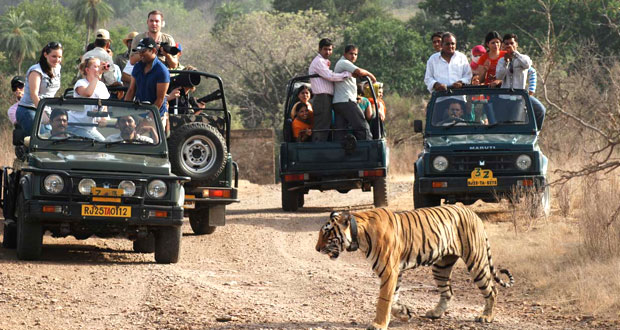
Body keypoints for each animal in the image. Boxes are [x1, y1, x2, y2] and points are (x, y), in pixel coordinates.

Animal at [314, 205, 512, 328]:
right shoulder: (395, 272)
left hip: (476, 261)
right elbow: (393, 298)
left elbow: (383, 300)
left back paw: (486, 317)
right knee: (448, 292)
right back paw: (435, 313)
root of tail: (473, 213)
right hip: (441, 266)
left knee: (492, 290)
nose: (316, 249)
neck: (359, 235)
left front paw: (378, 324)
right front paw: (404, 313)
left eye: (327, 233)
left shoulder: (389, 270)